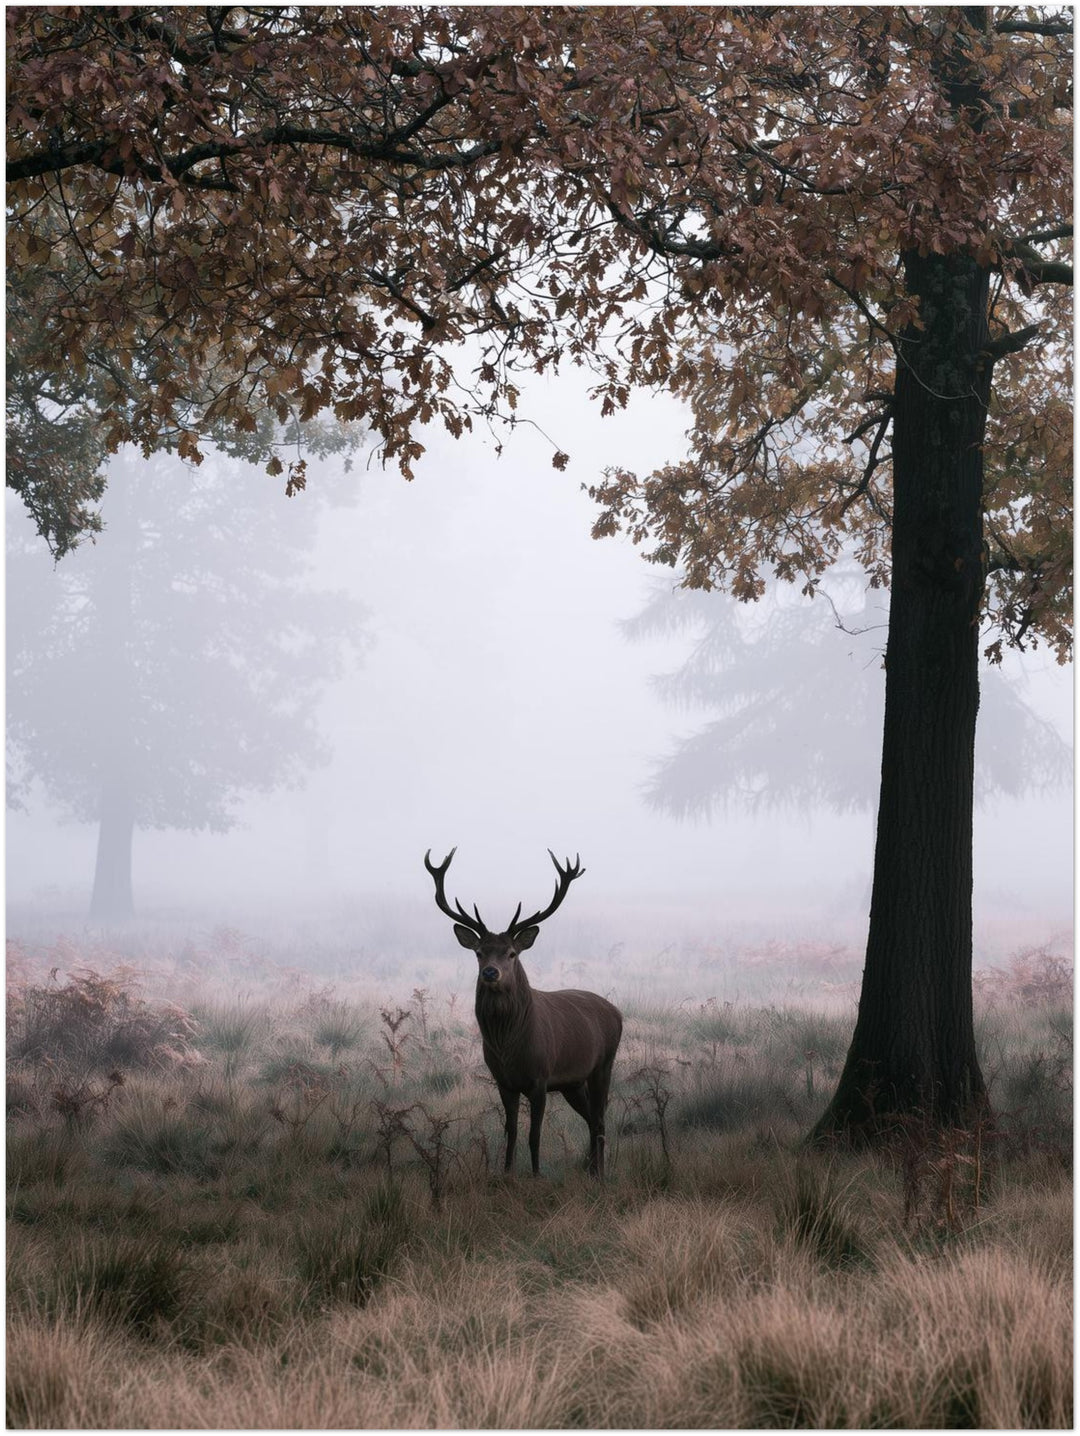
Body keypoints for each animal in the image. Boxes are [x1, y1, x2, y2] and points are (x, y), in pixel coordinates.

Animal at [424, 847, 622, 1179]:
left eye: (512, 953)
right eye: (479, 952)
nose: (491, 972)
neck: (508, 1046)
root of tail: (617, 1012)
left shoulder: (540, 1077)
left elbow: (535, 1133)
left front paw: (537, 1173)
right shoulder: (504, 1081)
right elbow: (512, 1130)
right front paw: (506, 1172)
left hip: (603, 1065)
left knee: (600, 1119)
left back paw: (600, 1173)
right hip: (572, 1083)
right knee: (592, 1119)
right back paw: (591, 1169)